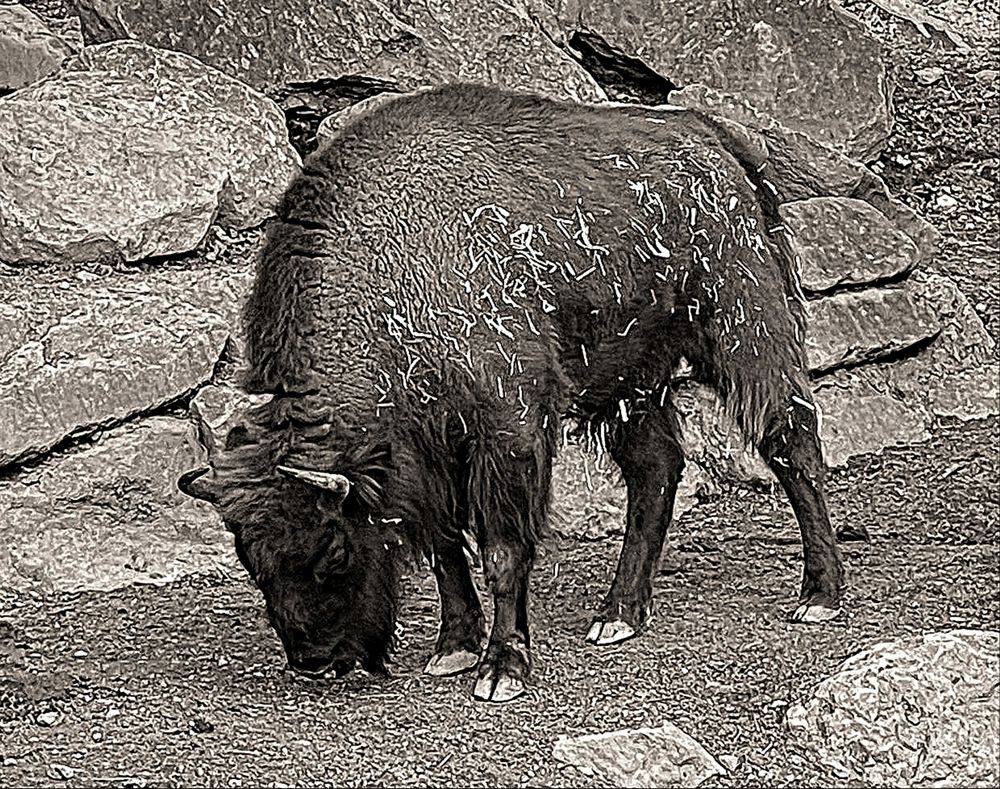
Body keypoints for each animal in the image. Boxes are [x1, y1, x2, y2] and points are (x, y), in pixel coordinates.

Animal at [180, 84, 844, 700]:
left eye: (333, 552)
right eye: (251, 563)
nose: (316, 660)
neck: (390, 264)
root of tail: (716, 139)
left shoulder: (507, 430)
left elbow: (501, 550)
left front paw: (502, 667)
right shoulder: (427, 453)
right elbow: (446, 545)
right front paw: (453, 646)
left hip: (745, 337)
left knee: (793, 443)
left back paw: (820, 595)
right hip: (633, 381)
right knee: (656, 469)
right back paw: (618, 614)